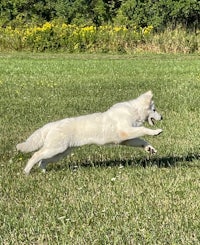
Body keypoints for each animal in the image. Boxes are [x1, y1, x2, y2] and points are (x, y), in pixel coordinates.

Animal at [16, 90, 162, 174]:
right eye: (154, 110)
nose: (162, 117)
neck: (134, 111)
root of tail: (51, 125)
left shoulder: (126, 139)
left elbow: (141, 140)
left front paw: (149, 148)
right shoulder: (125, 132)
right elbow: (143, 130)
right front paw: (156, 132)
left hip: (60, 152)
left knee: (42, 160)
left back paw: (43, 172)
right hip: (55, 149)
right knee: (36, 155)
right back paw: (26, 172)